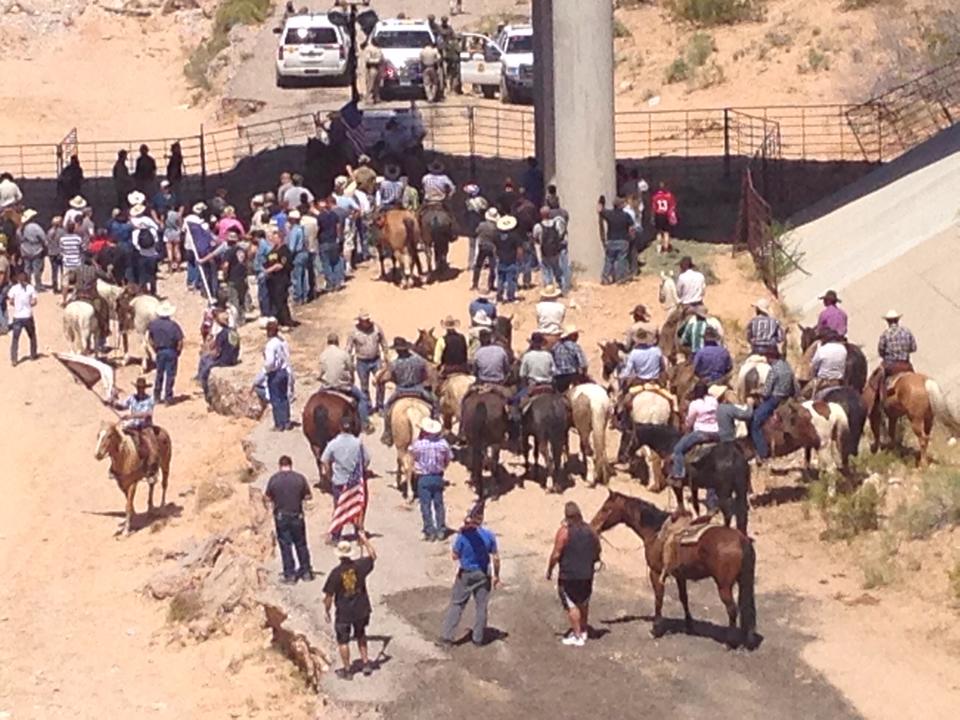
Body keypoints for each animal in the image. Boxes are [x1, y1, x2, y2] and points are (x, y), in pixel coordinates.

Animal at [584, 490, 756, 648]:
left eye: (606, 509)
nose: (593, 526)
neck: (655, 531)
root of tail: (742, 540)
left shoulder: (656, 573)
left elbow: (658, 599)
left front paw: (655, 629)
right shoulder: (680, 575)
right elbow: (684, 598)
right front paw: (689, 625)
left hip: (724, 586)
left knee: (732, 609)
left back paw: (730, 643)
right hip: (743, 581)